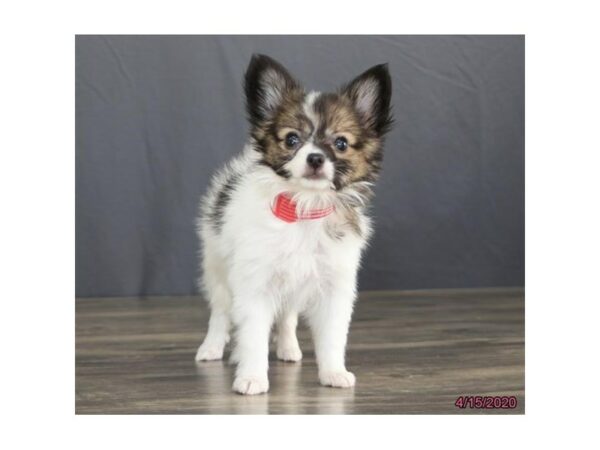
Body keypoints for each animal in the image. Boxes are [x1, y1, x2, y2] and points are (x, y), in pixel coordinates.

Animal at [195, 53, 394, 394]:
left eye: (341, 144)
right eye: (291, 140)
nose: (315, 158)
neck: (304, 209)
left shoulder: (334, 287)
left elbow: (332, 337)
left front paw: (334, 372)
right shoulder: (255, 283)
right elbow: (253, 336)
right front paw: (251, 377)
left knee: (287, 316)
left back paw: (289, 348)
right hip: (218, 268)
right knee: (220, 312)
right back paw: (211, 347)